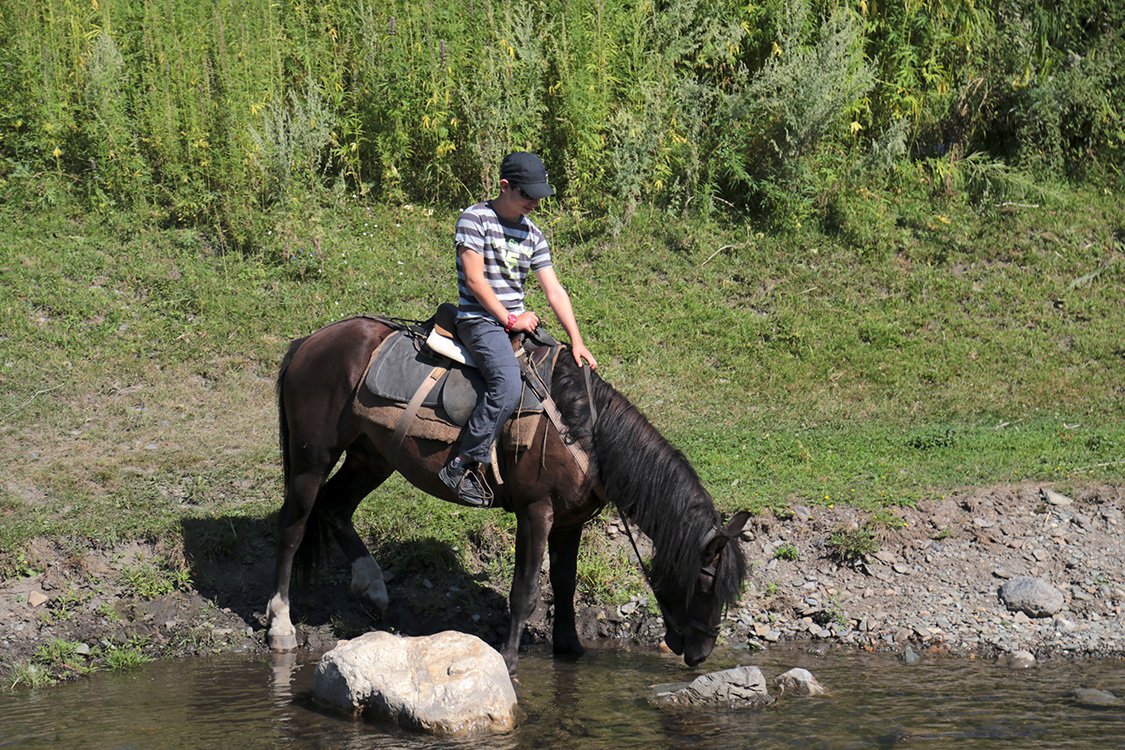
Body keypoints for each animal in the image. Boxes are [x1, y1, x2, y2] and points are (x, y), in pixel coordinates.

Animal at [267, 317, 751, 674]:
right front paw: (511, 658)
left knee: (335, 508)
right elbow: (526, 591)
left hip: (371, 456)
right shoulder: (536, 513)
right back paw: (282, 625)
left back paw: (373, 588)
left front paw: (570, 647)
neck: (583, 432)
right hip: (312, 457)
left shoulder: (571, 522)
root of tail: (310, 342)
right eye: (705, 583)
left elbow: (565, 583)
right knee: (293, 528)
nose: (702, 654)